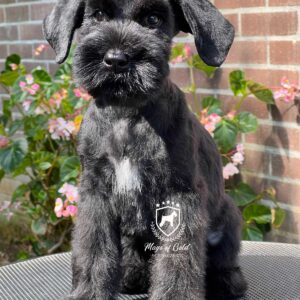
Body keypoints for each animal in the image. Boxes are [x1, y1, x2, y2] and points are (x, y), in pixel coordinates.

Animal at [43, 0, 247, 300]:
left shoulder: (179, 195)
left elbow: (177, 261)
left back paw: (227, 282)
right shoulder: (96, 193)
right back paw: (132, 274)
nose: (116, 59)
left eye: (153, 19)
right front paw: (89, 292)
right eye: (98, 15)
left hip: (229, 215)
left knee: (223, 259)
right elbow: (92, 250)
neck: (127, 114)